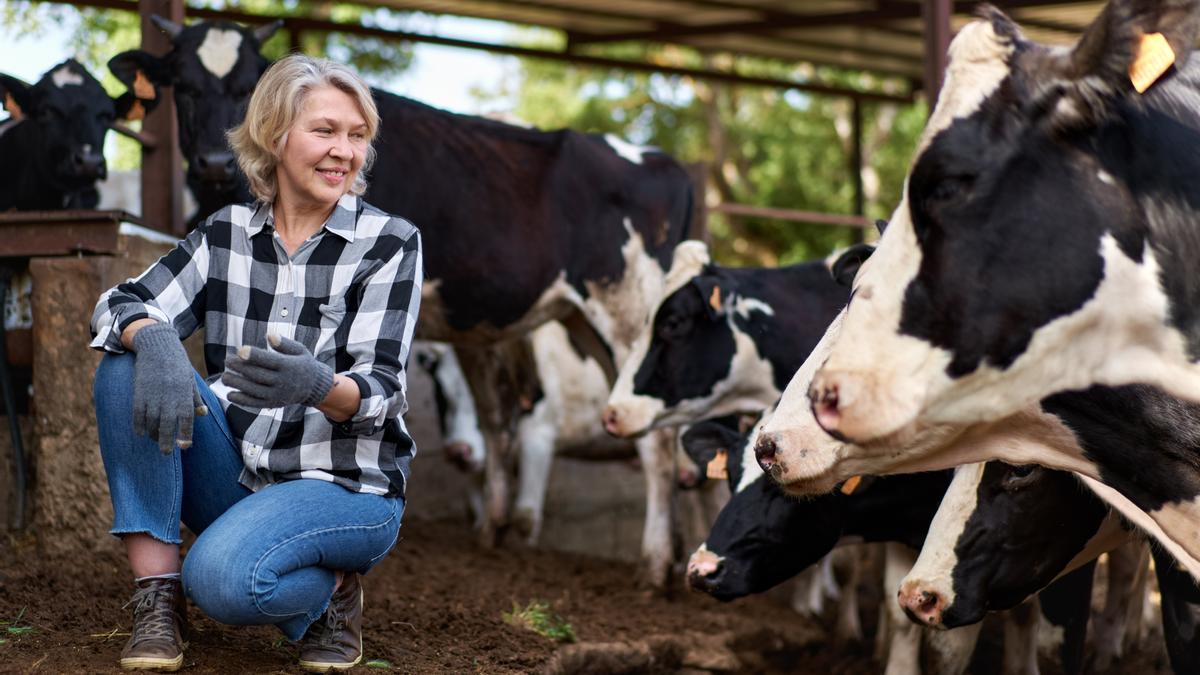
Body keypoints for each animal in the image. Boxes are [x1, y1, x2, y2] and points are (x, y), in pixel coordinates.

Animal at [110, 18, 700, 586]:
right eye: (184, 86)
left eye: (243, 87)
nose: (213, 161)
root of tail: (663, 162)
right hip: (579, 319)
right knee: (517, 420)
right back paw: (503, 534)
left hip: (629, 309)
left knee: (655, 441)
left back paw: (654, 567)